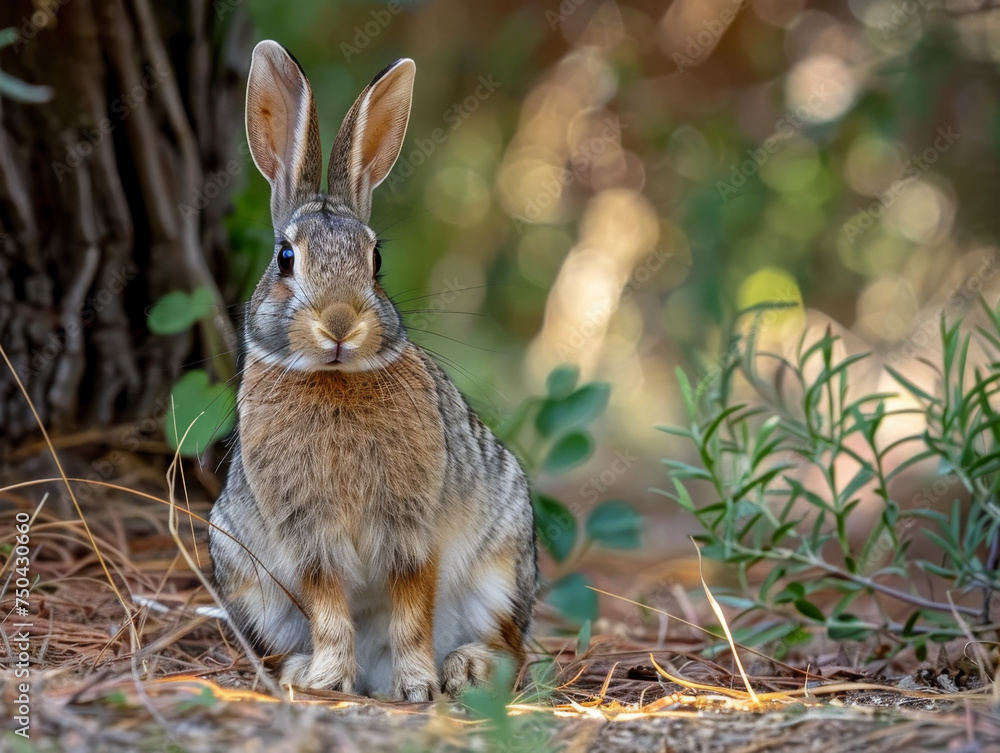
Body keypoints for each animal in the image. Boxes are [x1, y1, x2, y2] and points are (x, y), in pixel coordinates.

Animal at [208, 40, 537, 702]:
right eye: (286, 257)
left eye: (376, 259)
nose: (340, 324)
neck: (334, 380)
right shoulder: (309, 537)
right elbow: (328, 604)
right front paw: (329, 681)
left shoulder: (412, 529)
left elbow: (411, 604)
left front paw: (416, 689)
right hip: (241, 574)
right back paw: (303, 673)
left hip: (501, 562)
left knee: (509, 645)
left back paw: (463, 671)